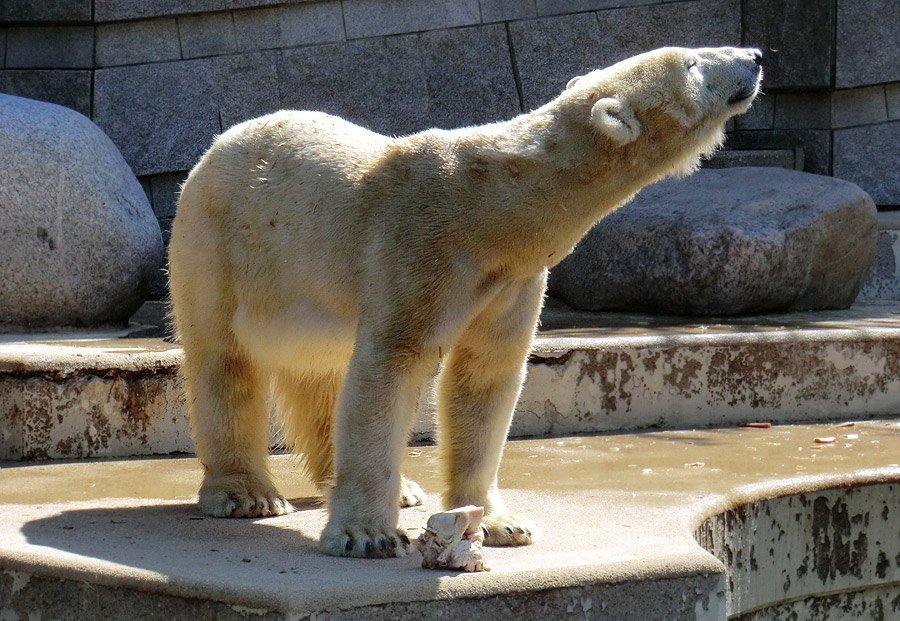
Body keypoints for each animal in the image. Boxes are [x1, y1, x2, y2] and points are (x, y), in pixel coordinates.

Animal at [169, 44, 760, 556]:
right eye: (692, 62)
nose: (754, 56)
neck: (495, 207)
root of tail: (216, 146)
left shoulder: (513, 279)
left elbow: (486, 375)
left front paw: (501, 523)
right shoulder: (420, 245)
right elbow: (392, 364)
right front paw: (366, 534)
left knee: (317, 370)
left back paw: (399, 486)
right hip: (221, 246)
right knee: (224, 359)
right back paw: (247, 493)